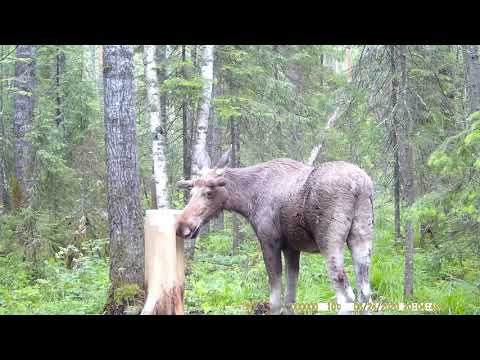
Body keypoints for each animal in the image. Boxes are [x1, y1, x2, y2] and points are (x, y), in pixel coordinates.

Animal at [176, 148, 376, 314]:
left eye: (209, 193)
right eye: (191, 192)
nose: (183, 226)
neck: (248, 201)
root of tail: (360, 185)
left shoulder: (269, 242)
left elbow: (275, 301)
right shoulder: (292, 248)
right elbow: (290, 299)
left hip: (329, 242)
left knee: (346, 296)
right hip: (362, 238)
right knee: (365, 292)